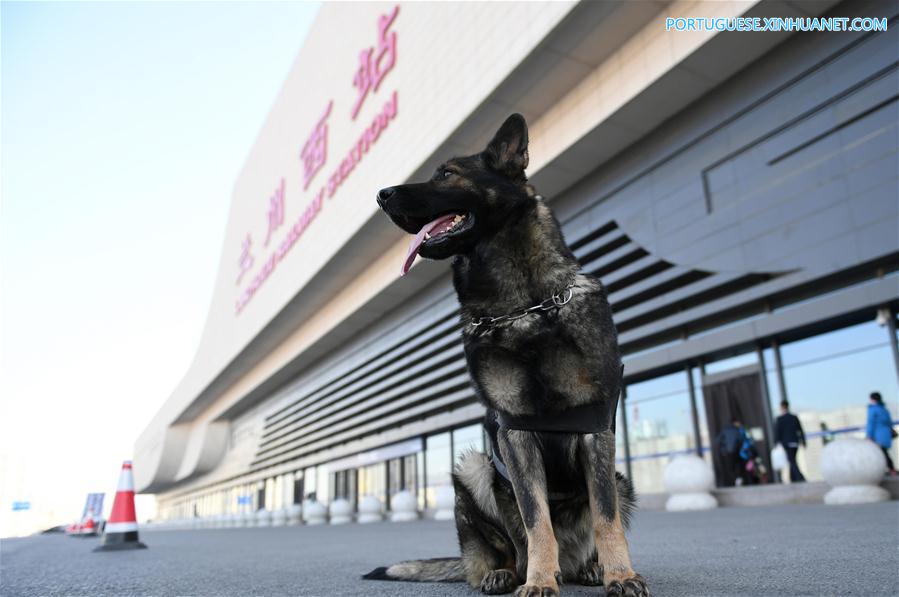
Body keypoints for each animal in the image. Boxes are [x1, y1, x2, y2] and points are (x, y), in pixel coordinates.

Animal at [370, 113, 652, 596]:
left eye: (446, 173)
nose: (381, 195)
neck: (524, 307)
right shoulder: (515, 433)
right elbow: (536, 521)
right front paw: (538, 581)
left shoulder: (594, 428)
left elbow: (607, 517)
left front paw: (621, 574)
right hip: (473, 469)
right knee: (499, 552)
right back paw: (505, 573)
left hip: (621, 478)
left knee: (594, 527)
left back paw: (591, 567)